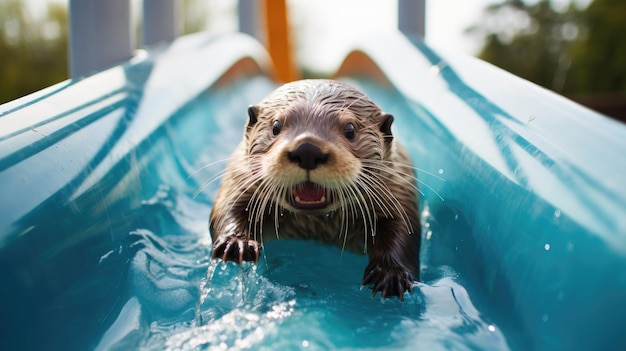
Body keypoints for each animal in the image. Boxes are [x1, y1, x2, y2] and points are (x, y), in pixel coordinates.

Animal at [210, 80, 420, 300]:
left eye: (350, 129)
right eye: (276, 126)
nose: (308, 150)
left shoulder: (398, 188)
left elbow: (402, 227)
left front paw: (391, 273)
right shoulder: (239, 177)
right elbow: (229, 206)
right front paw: (236, 244)